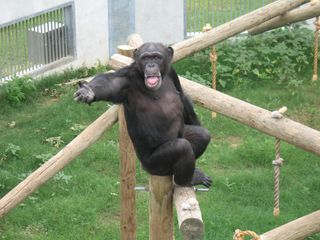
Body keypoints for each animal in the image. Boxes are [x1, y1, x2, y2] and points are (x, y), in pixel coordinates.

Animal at [74, 42, 211, 188]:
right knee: (182, 148)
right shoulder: (125, 79)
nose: (151, 65)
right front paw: (87, 91)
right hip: (154, 164)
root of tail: (145, 168)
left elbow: (182, 96)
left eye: (156, 57)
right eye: (145, 58)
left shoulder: (172, 73)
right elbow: (107, 82)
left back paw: (193, 174)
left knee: (202, 135)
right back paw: (187, 181)